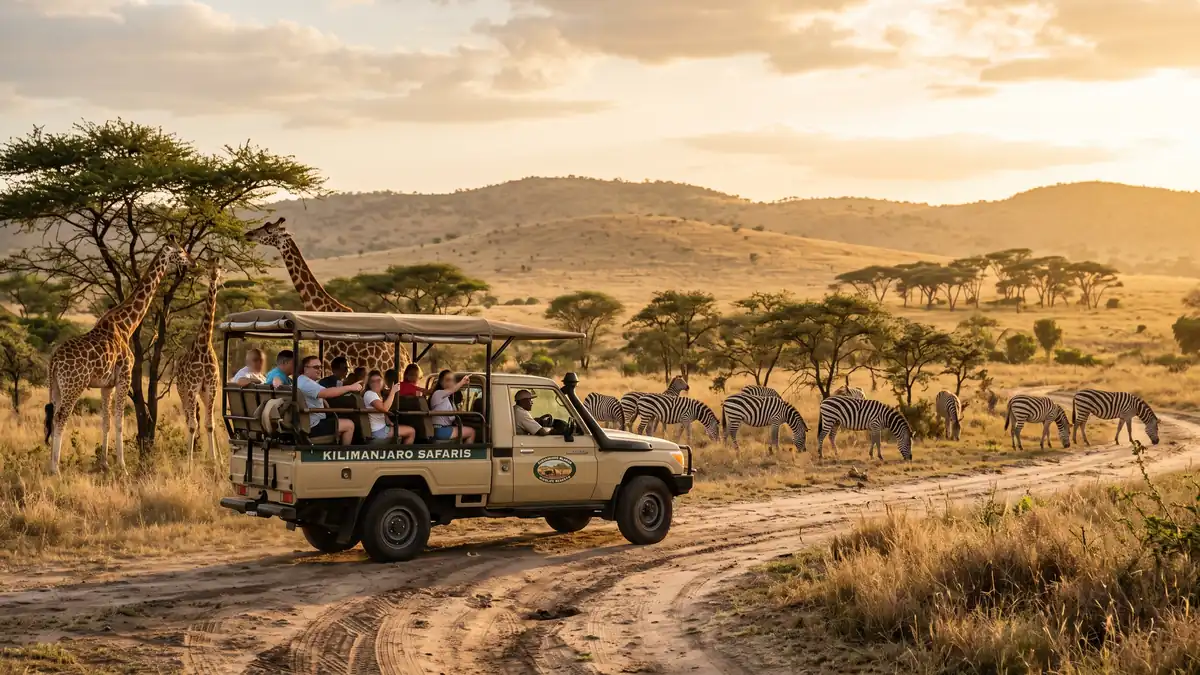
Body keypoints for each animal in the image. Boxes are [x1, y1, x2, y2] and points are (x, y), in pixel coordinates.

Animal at [44, 241, 193, 474]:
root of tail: (54, 361)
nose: (193, 262)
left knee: (53, 416)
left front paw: (104, 463)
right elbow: (121, 420)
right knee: (60, 418)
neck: (126, 325)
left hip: (56, 386)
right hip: (74, 385)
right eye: (180, 251)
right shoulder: (125, 377)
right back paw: (55, 469)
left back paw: (51, 464)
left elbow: (106, 421)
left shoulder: (107, 385)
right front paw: (122, 466)